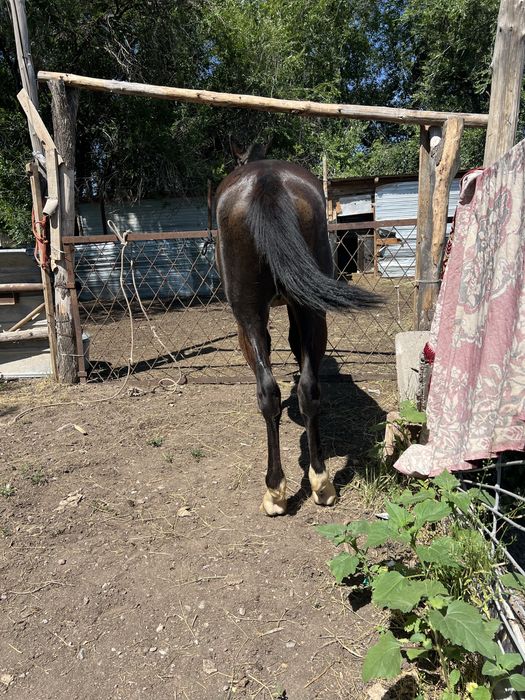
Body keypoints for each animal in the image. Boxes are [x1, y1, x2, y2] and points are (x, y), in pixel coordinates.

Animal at [215, 144, 380, 516]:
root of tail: (267, 181)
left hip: (249, 314)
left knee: (268, 392)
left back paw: (275, 491)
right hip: (310, 308)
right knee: (306, 390)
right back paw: (321, 483)